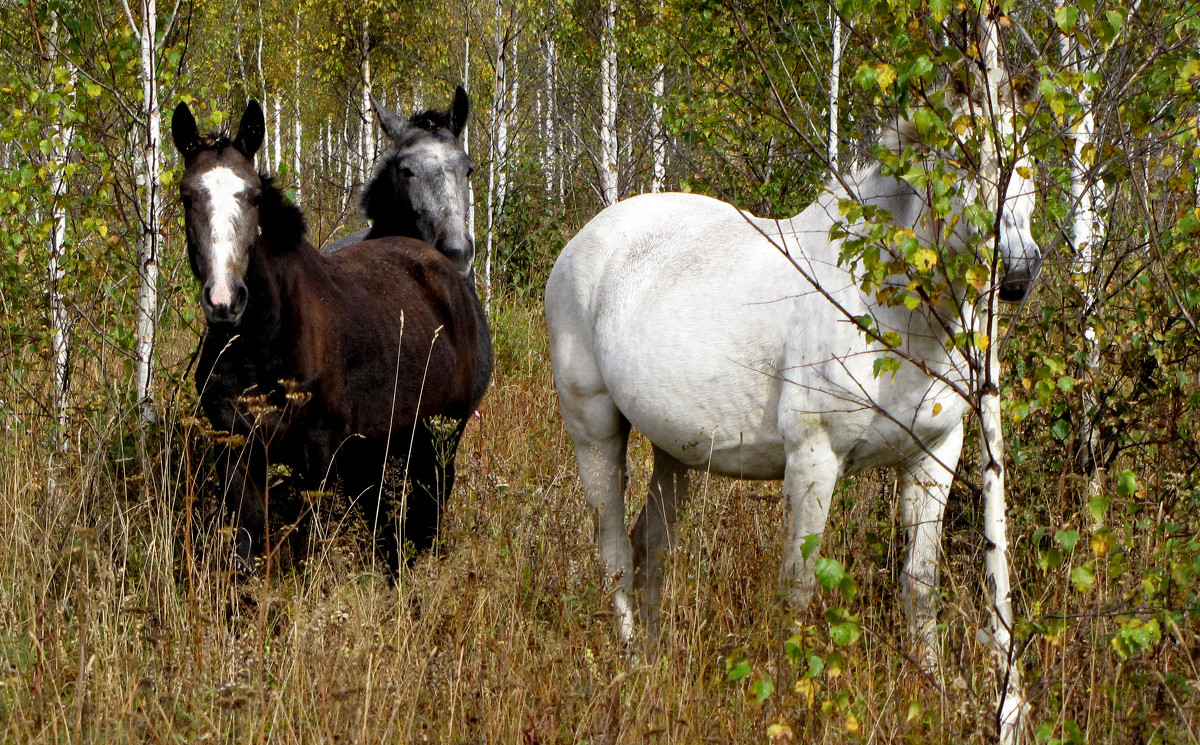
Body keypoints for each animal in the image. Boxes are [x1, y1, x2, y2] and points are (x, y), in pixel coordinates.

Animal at [174, 100, 482, 568]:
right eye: (187, 195)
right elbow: (248, 546)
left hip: (444, 435)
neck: (263, 345)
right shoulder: (236, 451)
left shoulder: (318, 455)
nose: (224, 299)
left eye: (255, 195)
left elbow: (311, 552)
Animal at [547, 116, 1041, 657]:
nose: (1020, 271)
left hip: (674, 449)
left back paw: (655, 659)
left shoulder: (934, 453)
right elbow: (798, 589)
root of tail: (584, 242)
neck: (892, 313)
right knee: (614, 554)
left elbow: (920, 582)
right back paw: (631, 656)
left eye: (1027, 160)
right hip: (594, 434)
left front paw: (932, 674)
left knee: (649, 547)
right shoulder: (813, 457)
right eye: (960, 160)